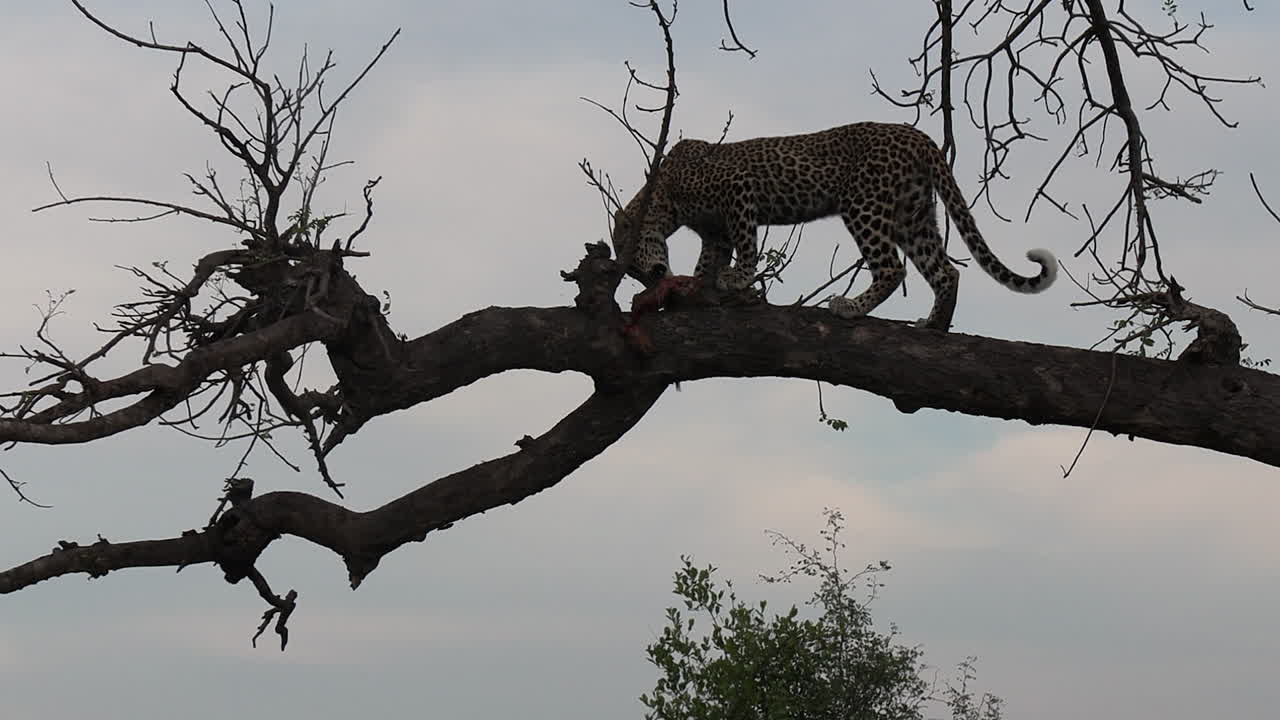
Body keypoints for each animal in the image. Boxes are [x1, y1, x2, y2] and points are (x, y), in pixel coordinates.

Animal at [610, 121, 1057, 330]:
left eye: (632, 256)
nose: (651, 277)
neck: (664, 199)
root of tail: (918, 136)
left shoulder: (739, 192)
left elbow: (747, 246)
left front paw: (738, 278)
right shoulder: (715, 233)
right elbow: (709, 260)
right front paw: (698, 286)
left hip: (863, 205)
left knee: (892, 268)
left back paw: (850, 307)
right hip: (912, 214)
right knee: (945, 271)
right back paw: (934, 324)